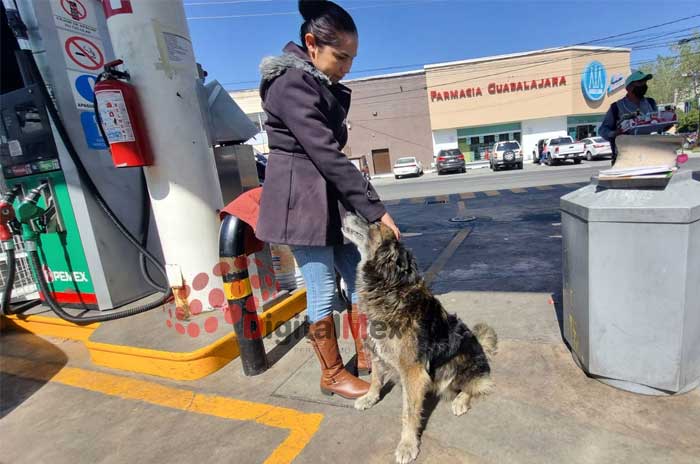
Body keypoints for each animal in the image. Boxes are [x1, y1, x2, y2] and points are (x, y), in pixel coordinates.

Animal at [340, 216, 494, 464]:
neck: (388, 287)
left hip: (460, 360)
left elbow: (408, 412)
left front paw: (407, 444)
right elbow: (375, 379)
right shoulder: (376, 351)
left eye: (374, 225)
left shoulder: (412, 370)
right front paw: (369, 398)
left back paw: (460, 401)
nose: (346, 214)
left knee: (476, 385)